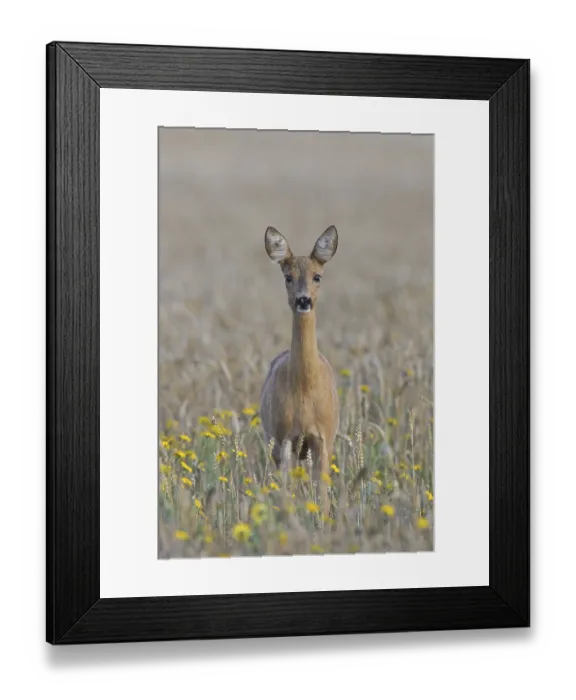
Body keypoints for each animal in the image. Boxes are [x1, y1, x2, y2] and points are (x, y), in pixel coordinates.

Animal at [260, 225, 340, 515]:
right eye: (288, 277)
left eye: (318, 276)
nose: (303, 300)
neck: (305, 389)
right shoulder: (284, 437)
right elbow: (286, 494)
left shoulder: (324, 437)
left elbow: (323, 497)